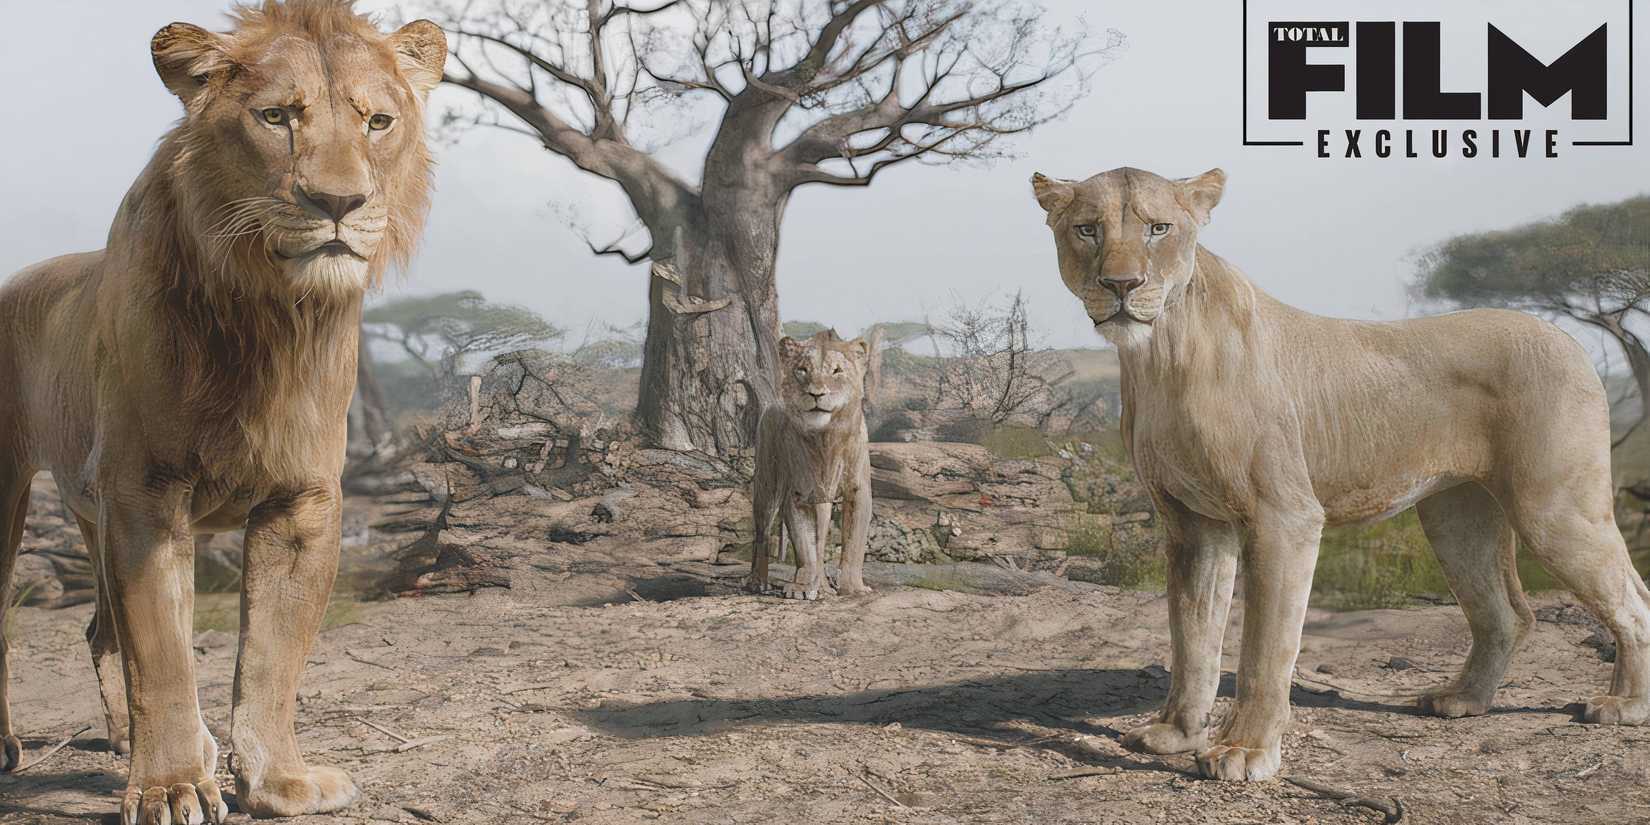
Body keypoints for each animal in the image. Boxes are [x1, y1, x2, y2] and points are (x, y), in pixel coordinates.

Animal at [0, 2, 444, 821]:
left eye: (377, 121)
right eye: (276, 117)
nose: (339, 203)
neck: (267, 315)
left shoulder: (304, 502)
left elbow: (271, 660)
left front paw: (279, 783)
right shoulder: (144, 491)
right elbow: (164, 656)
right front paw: (172, 785)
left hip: (87, 507)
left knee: (98, 627)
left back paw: (120, 741)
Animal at [747, 330, 880, 600]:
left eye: (837, 371)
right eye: (802, 370)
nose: (816, 394)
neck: (826, 439)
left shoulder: (858, 492)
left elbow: (854, 544)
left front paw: (853, 588)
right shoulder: (800, 494)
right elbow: (805, 546)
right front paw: (802, 587)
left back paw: (825, 587)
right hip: (766, 487)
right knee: (762, 533)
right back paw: (757, 581)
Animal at [1031, 166, 1650, 782]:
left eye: (1159, 228)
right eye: (1088, 229)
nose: (1121, 284)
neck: (1160, 352)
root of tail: (1568, 338)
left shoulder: (1285, 517)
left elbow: (1263, 650)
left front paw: (1245, 751)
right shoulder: (1193, 525)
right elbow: (1192, 639)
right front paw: (1176, 734)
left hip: (1553, 507)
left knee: (1632, 599)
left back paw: (1625, 705)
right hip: (1456, 517)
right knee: (1507, 613)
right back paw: (1461, 700)